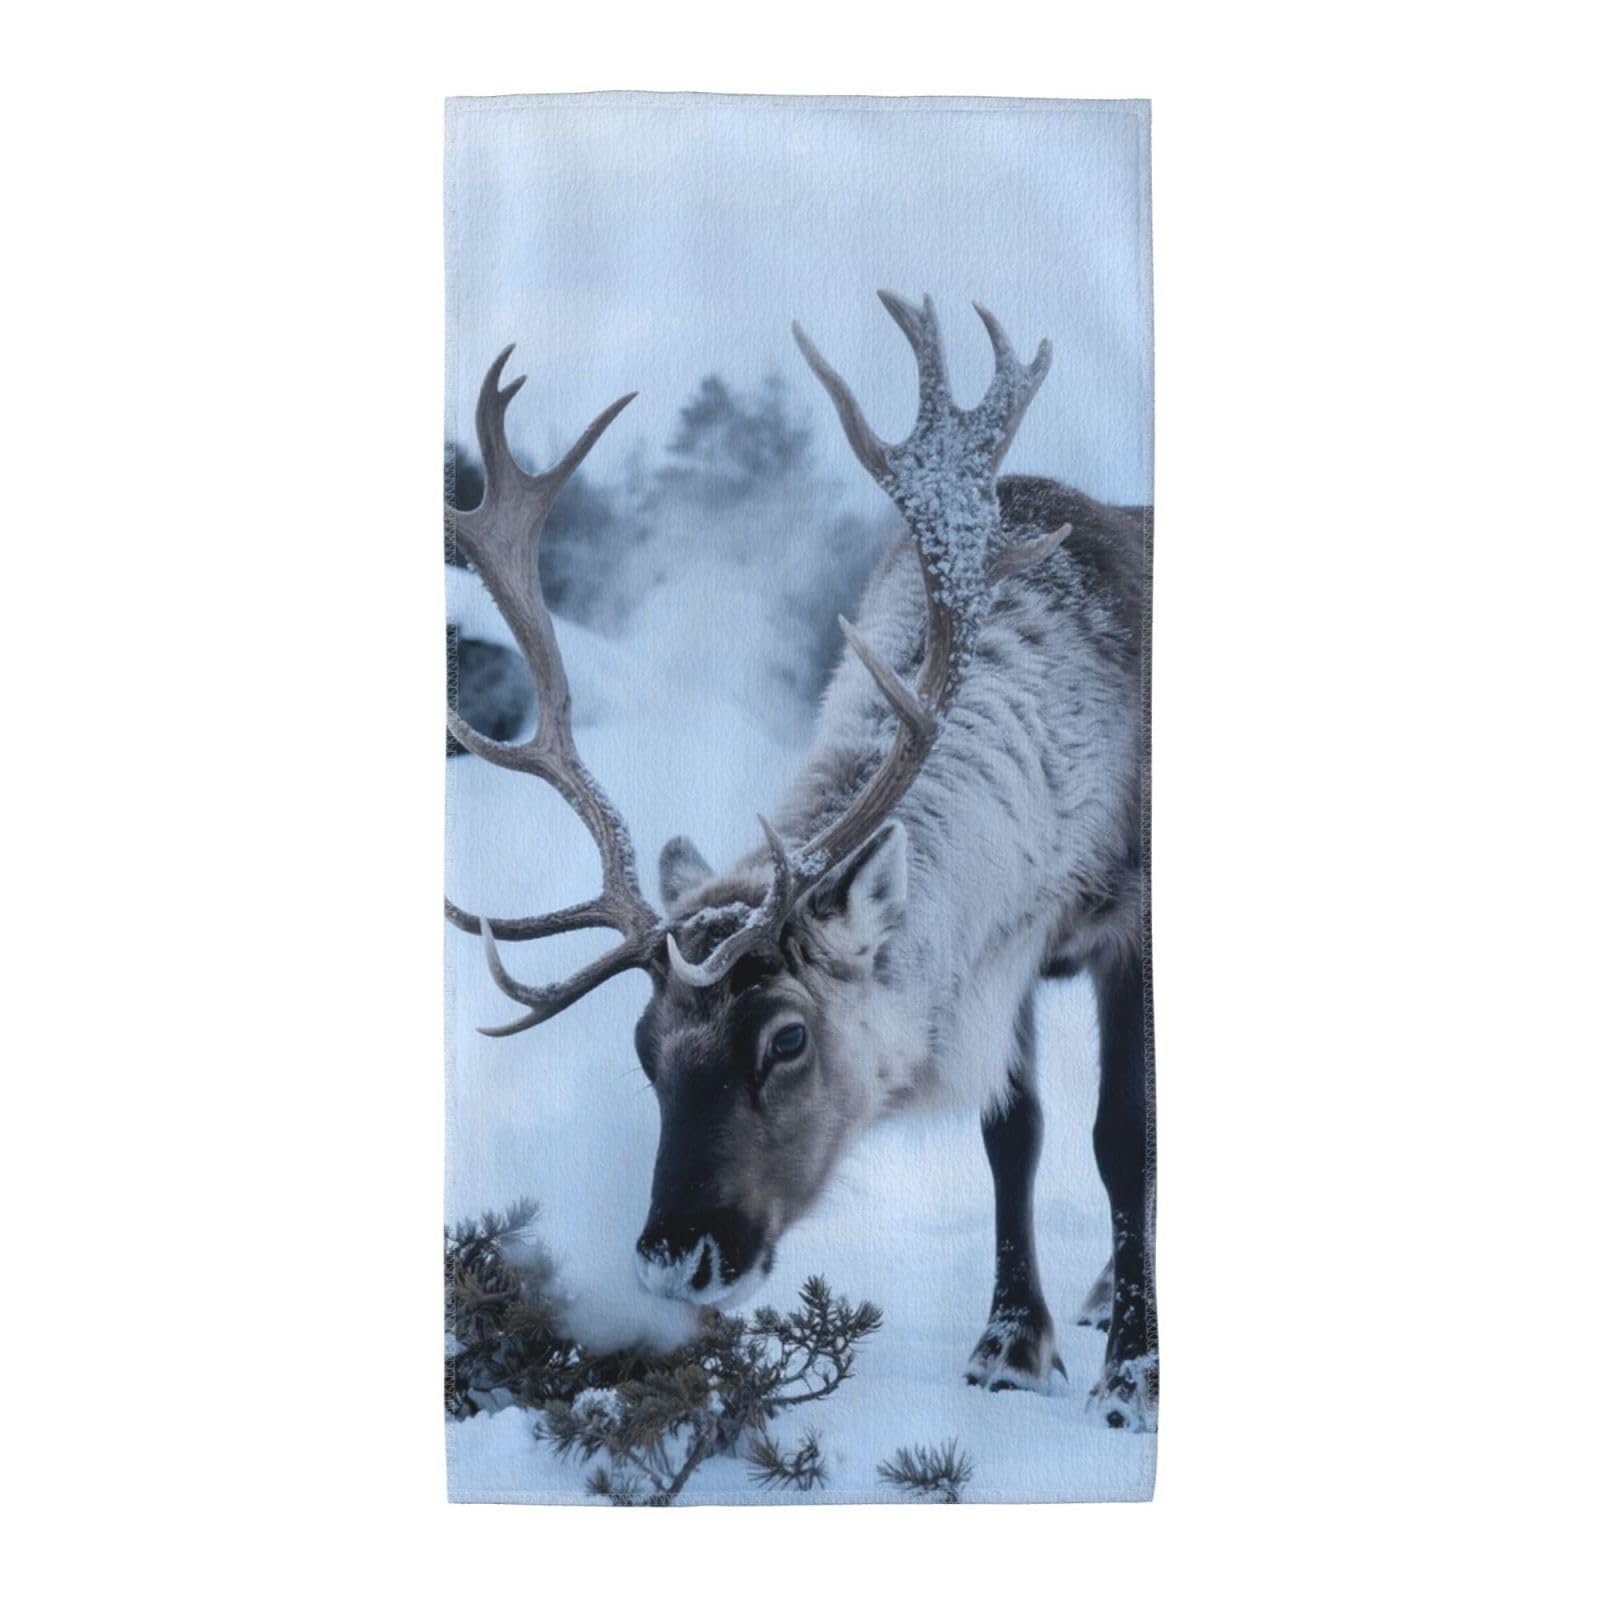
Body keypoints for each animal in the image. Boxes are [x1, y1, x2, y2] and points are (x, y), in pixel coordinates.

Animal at [445, 293, 1156, 1428]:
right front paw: (1009, 1344)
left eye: (786, 1038)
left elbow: (1122, 1137)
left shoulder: (1128, 917)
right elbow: (1015, 1133)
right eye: (643, 1047)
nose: (675, 1259)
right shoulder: (994, 961)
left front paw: (1133, 1376)